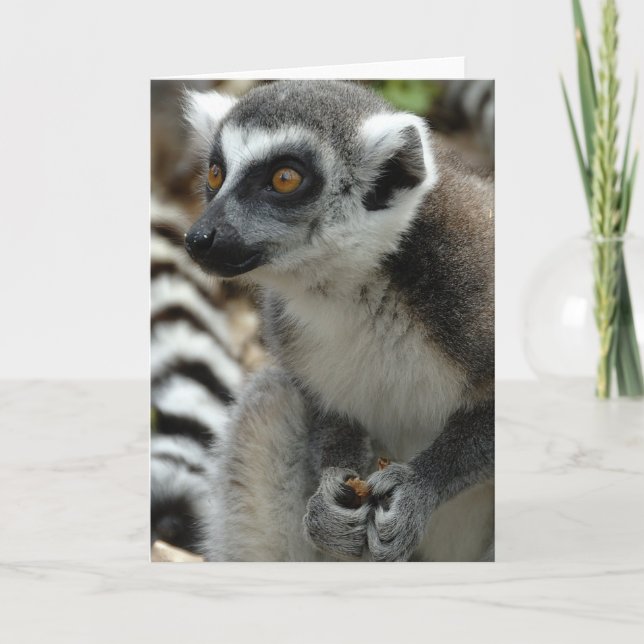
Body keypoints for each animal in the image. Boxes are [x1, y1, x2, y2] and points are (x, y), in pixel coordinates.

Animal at [181, 80, 494, 561]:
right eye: (215, 174)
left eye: (284, 178)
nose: (199, 238)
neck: (356, 285)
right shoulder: (288, 327)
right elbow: (324, 406)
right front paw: (330, 497)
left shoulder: (470, 282)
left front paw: (418, 488)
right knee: (273, 400)